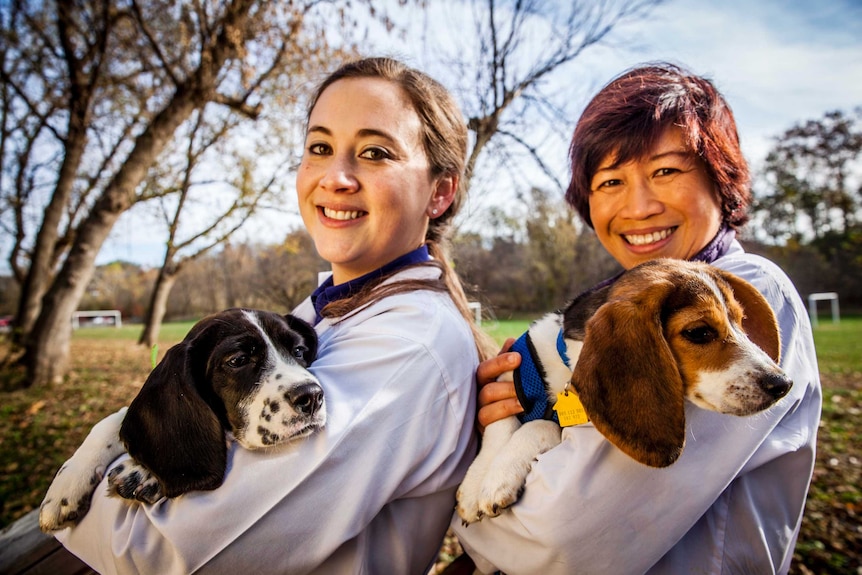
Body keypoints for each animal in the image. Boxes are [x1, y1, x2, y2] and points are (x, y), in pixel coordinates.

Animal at [38, 308, 326, 532]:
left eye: (299, 350)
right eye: (238, 360)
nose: (312, 397)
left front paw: (141, 473)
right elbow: (111, 420)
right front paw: (65, 488)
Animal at [460, 260, 796, 528]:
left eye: (741, 322)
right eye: (699, 332)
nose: (783, 383)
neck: (567, 364)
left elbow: (539, 425)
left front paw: (498, 476)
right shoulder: (510, 368)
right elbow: (500, 425)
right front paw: (476, 483)